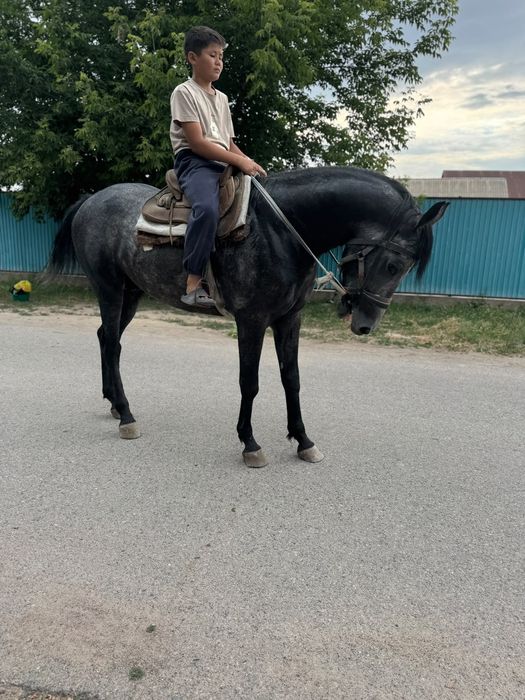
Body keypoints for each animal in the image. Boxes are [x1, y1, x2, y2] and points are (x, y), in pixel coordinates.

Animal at [47, 166, 448, 467]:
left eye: (404, 266)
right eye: (394, 264)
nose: (366, 324)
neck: (282, 231)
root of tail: (89, 200)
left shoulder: (289, 319)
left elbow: (292, 379)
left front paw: (303, 440)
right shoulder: (252, 321)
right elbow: (249, 382)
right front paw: (250, 443)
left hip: (131, 294)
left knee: (106, 337)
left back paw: (115, 405)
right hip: (111, 290)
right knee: (112, 344)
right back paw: (127, 416)